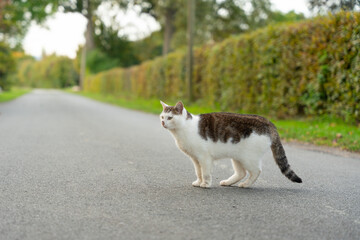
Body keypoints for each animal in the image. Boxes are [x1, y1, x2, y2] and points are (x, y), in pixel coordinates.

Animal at [159, 100, 302, 188]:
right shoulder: (195, 159)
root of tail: (268, 121)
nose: (163, 123)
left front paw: (205, 184)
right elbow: (198, 172)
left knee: (256, 171)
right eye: (162, 117)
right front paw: (199, 182)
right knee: (241, 173)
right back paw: (228, 182)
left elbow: (205, 172)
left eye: (170, 117)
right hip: (237, 157)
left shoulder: (204, 157)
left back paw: (246, 184)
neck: (184, 128)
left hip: (248, 158)